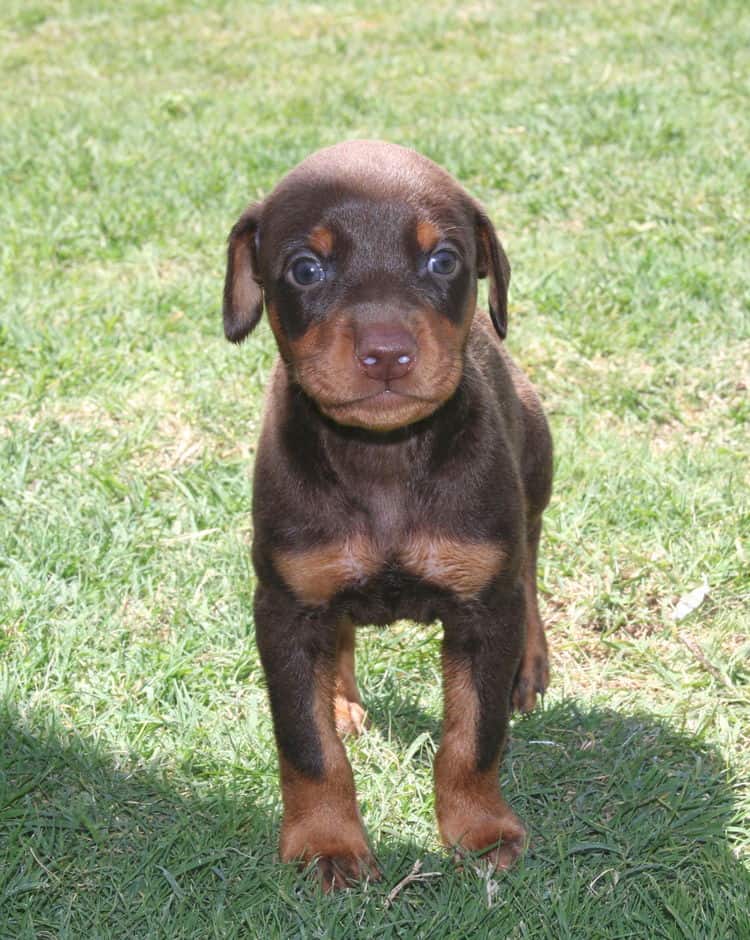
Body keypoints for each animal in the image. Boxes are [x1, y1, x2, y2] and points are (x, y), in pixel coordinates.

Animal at [222, 138, 552, 888]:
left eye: (444, 261)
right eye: (306, 268)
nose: (386, 354)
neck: (383, 459)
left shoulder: (483, 607)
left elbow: (475, 735)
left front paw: (480, 829)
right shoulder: (285, 607)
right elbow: (305, 744)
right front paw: (326, 844)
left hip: (535, 467)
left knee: (530, 563)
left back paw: (530, 661)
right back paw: (340, 699)